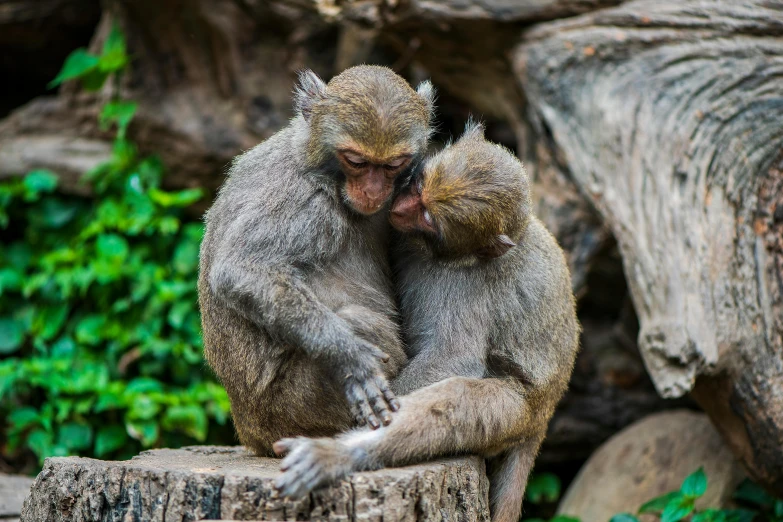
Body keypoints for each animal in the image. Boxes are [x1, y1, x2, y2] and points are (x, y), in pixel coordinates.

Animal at [196, 65, 438, 456]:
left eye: (393, 164)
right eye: (356, 161)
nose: (373, 191)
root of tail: (250, 430)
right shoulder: (304, 200)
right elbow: (242, 270)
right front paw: (349, 358)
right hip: (292, 408)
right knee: (362, 322)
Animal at [272, 122, 580, 522]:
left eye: (429, 217)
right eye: (417, 186)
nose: (400, 208)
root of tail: (546, 412)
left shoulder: (460, 282)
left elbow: (452, 358)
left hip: (517, 409)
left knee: (459, 402)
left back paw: (339, 454)